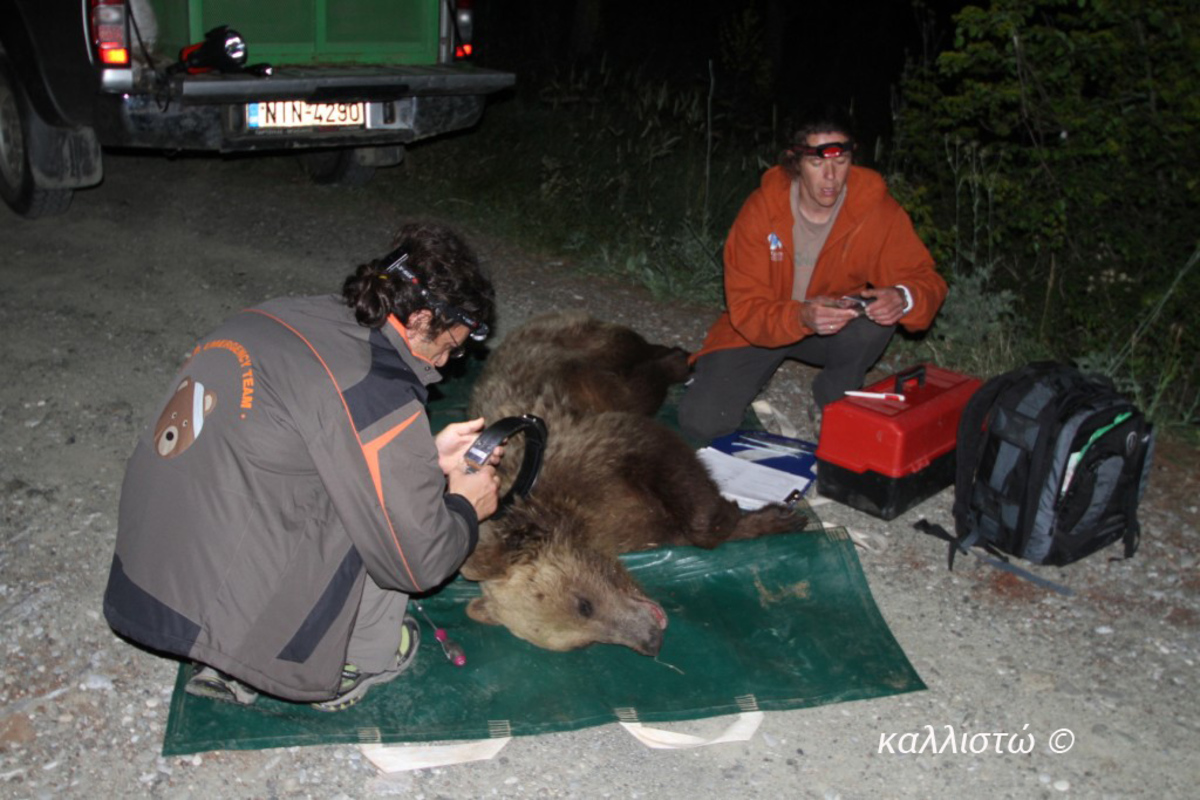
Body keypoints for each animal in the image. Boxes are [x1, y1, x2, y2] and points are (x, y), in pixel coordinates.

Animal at [458, 311, 806, 657]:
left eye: (583, 604)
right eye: (584, 641)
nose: (650, 641)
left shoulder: (594, 451)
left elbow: (663, 460)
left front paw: (742, 514)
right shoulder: (628, 524)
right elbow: (675, 530)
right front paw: (773, 518)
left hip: (581, 352)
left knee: (636, 373)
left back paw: (678, 358)